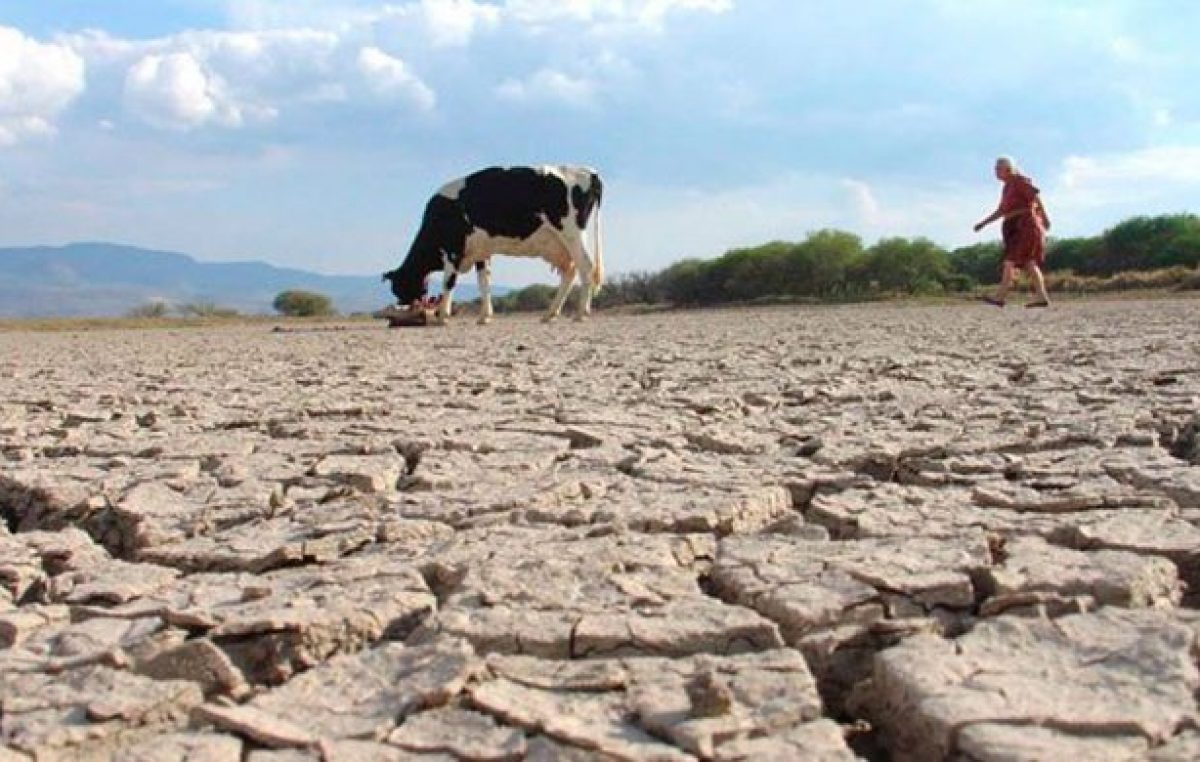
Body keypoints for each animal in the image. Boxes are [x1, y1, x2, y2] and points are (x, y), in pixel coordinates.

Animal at [381, 165, 604, 324]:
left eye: (398, 287)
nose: (403, 307)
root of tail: (590, 172)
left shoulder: (453, 250)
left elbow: (449, 282)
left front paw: (443, 315)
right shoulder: (481, 252)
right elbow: (484, 281)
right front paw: (484, 316)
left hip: (572, 233)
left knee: (586, 267)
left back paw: (581, 313)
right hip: (559, 244)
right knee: (570, 271)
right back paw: (550, 313)